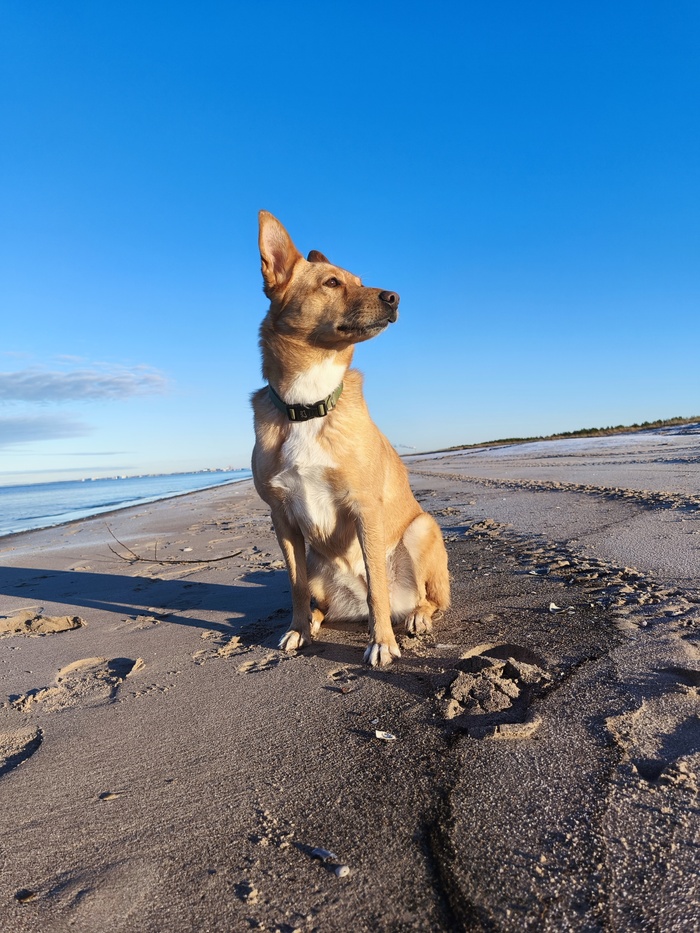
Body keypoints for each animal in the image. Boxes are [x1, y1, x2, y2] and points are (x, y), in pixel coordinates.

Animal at [251, 212, 450, 666]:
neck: (309, 404)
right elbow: (294, 587)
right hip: (319, 566)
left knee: (425, 599)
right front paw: (297, 628)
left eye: (359, 280)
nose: (394, 297)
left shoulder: (364, 509)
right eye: (331, 282)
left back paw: (415, 617)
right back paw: (313, 622)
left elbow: (377, 587)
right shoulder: (282, 519)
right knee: (320, 599)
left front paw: (382, 643)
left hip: (421, 530)